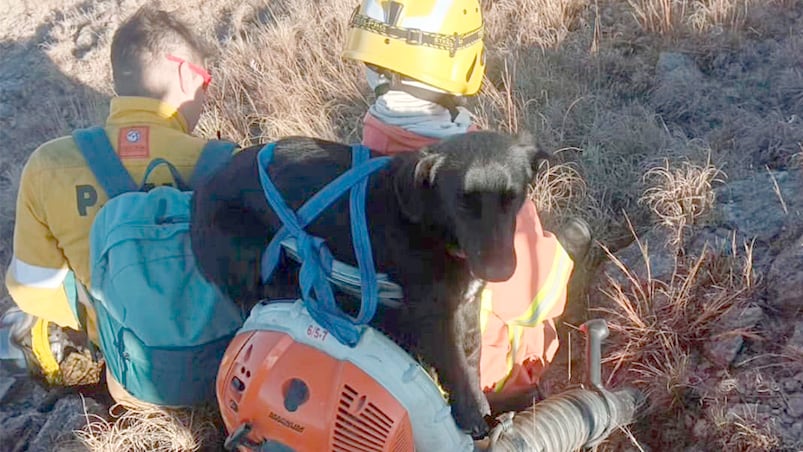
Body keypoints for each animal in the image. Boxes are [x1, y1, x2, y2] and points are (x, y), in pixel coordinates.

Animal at [192, 130, 548, 438]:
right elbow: (453, 363)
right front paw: (470, 416)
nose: (500, 271)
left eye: (513, 199)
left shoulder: (467, 304)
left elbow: (471, 360)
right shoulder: (432, 315)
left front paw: (482, 406)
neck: (429, 223)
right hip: (265, 269)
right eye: (462, 203)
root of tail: (201, 192)